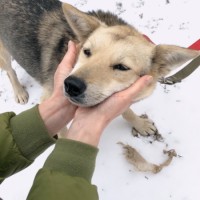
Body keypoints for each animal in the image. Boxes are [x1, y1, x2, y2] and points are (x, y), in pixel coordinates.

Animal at [0, 0, 199, 137]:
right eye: (87, 51)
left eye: (122, 67)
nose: (71, 85)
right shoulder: (47, 99)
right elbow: (62, 130)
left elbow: (126, 111)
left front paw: (139, 124)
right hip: (5, 54)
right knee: (10, 71)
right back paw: (19, 91)